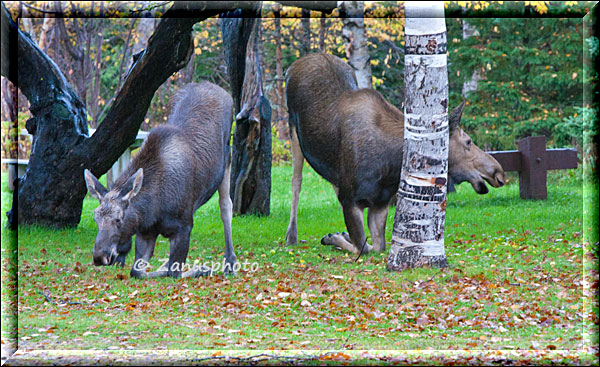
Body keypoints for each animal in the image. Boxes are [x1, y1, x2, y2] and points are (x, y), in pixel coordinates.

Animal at [84, 82, 237, 278]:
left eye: (118, 219)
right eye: (96, 218)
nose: (99, 257)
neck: (153, 208)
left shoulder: (184, 227)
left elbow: (174, 271)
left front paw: (201, 268)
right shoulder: (146, 232)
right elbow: (137, 271)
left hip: (227, 158)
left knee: (226, 206)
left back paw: (230, 261)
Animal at [286, 54, 506, 256]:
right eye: (468, 141)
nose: (499, 172)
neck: (390, 167)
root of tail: (298, 62)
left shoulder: (380, 202)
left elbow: (377, 246)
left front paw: (340, 235)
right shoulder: (351, 199)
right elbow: (362, 248)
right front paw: (334, 237)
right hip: (294, 131)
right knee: (296, 183)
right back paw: (292, 236)